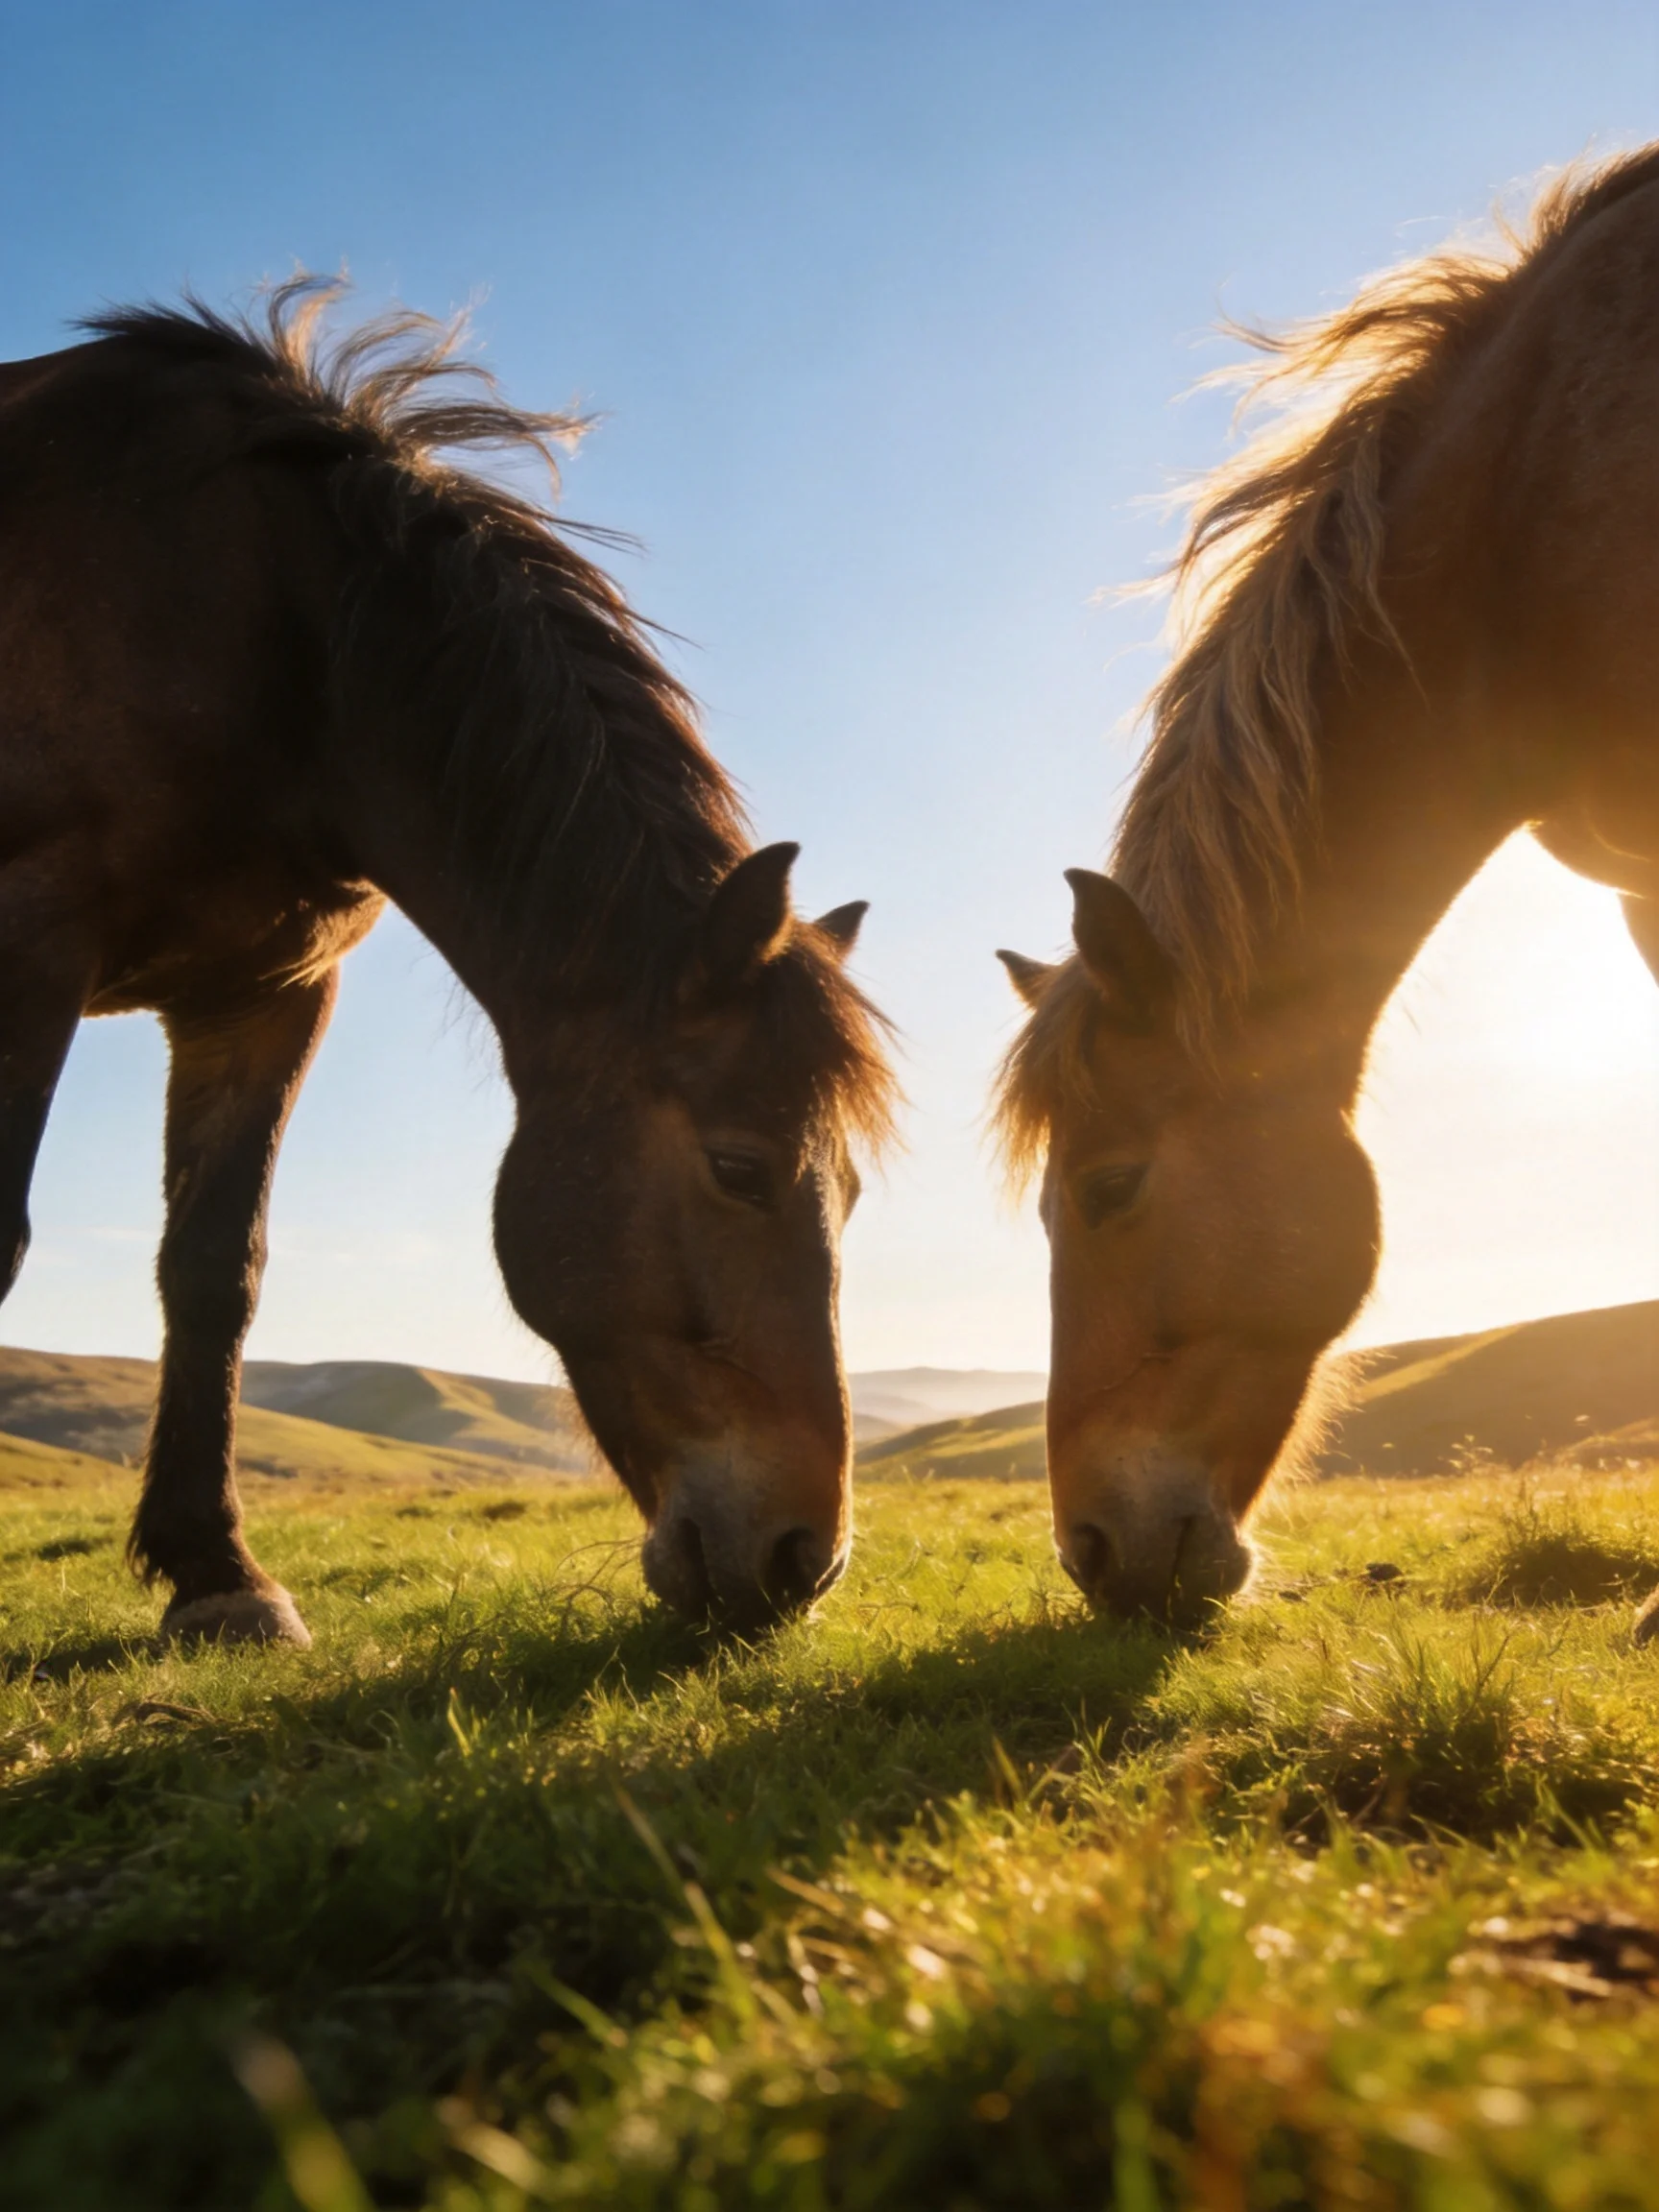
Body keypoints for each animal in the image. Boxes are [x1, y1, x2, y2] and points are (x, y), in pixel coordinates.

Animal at [0, 280, 895, 1646]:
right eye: (740, 1168)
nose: (805, 1562)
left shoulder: (264, 998)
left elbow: (213, 1270)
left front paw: (221, 1575)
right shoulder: (29, 940)